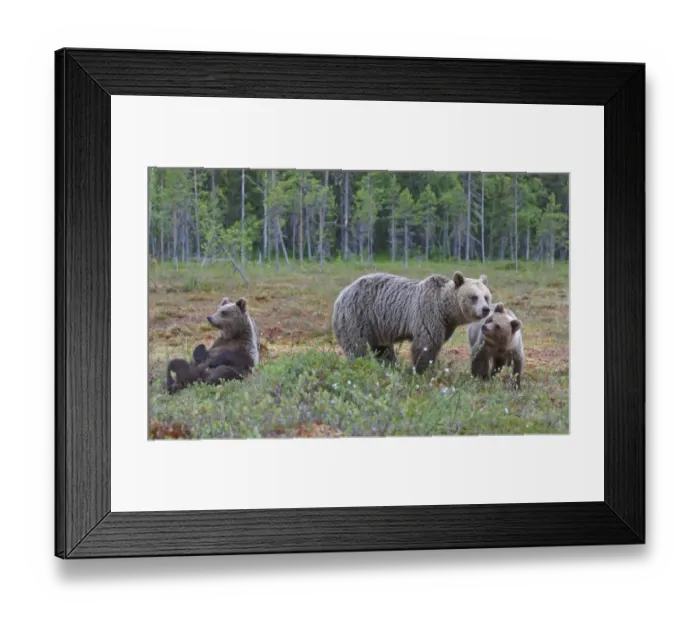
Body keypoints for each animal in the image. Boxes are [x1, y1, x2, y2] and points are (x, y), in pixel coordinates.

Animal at [331, 271, 492, 373]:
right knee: (356, 346)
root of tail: (342, 294)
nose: (485, 309)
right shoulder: (427, 315)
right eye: (474, 297)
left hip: (377, 327)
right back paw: (362, 364)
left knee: (383, 349)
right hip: (356, 316)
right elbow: (425, 345)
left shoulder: (445, 325)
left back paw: (390, 365)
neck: (445, 309)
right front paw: (421, 370)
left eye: (486, 296)